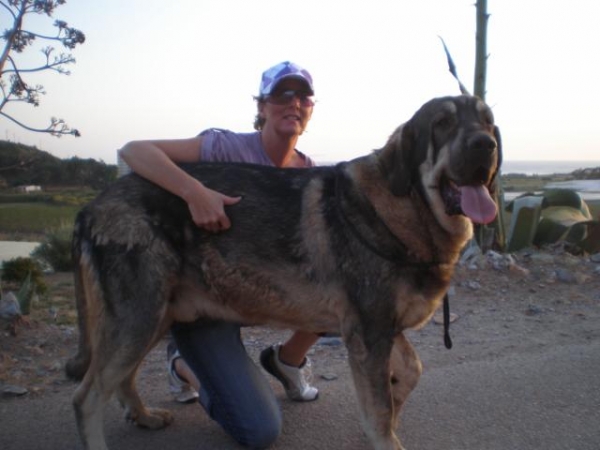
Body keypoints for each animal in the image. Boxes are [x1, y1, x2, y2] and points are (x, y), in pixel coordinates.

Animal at [65, 96, 502, 450]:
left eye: (487, 121)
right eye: (442, 124)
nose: (486, 144)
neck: (410, 206)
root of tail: (91, 206)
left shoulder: (380, 329)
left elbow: (409, 373)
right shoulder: (369, 331)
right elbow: (380, 406)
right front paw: (385, 436)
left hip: (155, 316)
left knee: (123, 378)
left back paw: (144, 416)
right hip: (139, 317)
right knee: (87, 396)